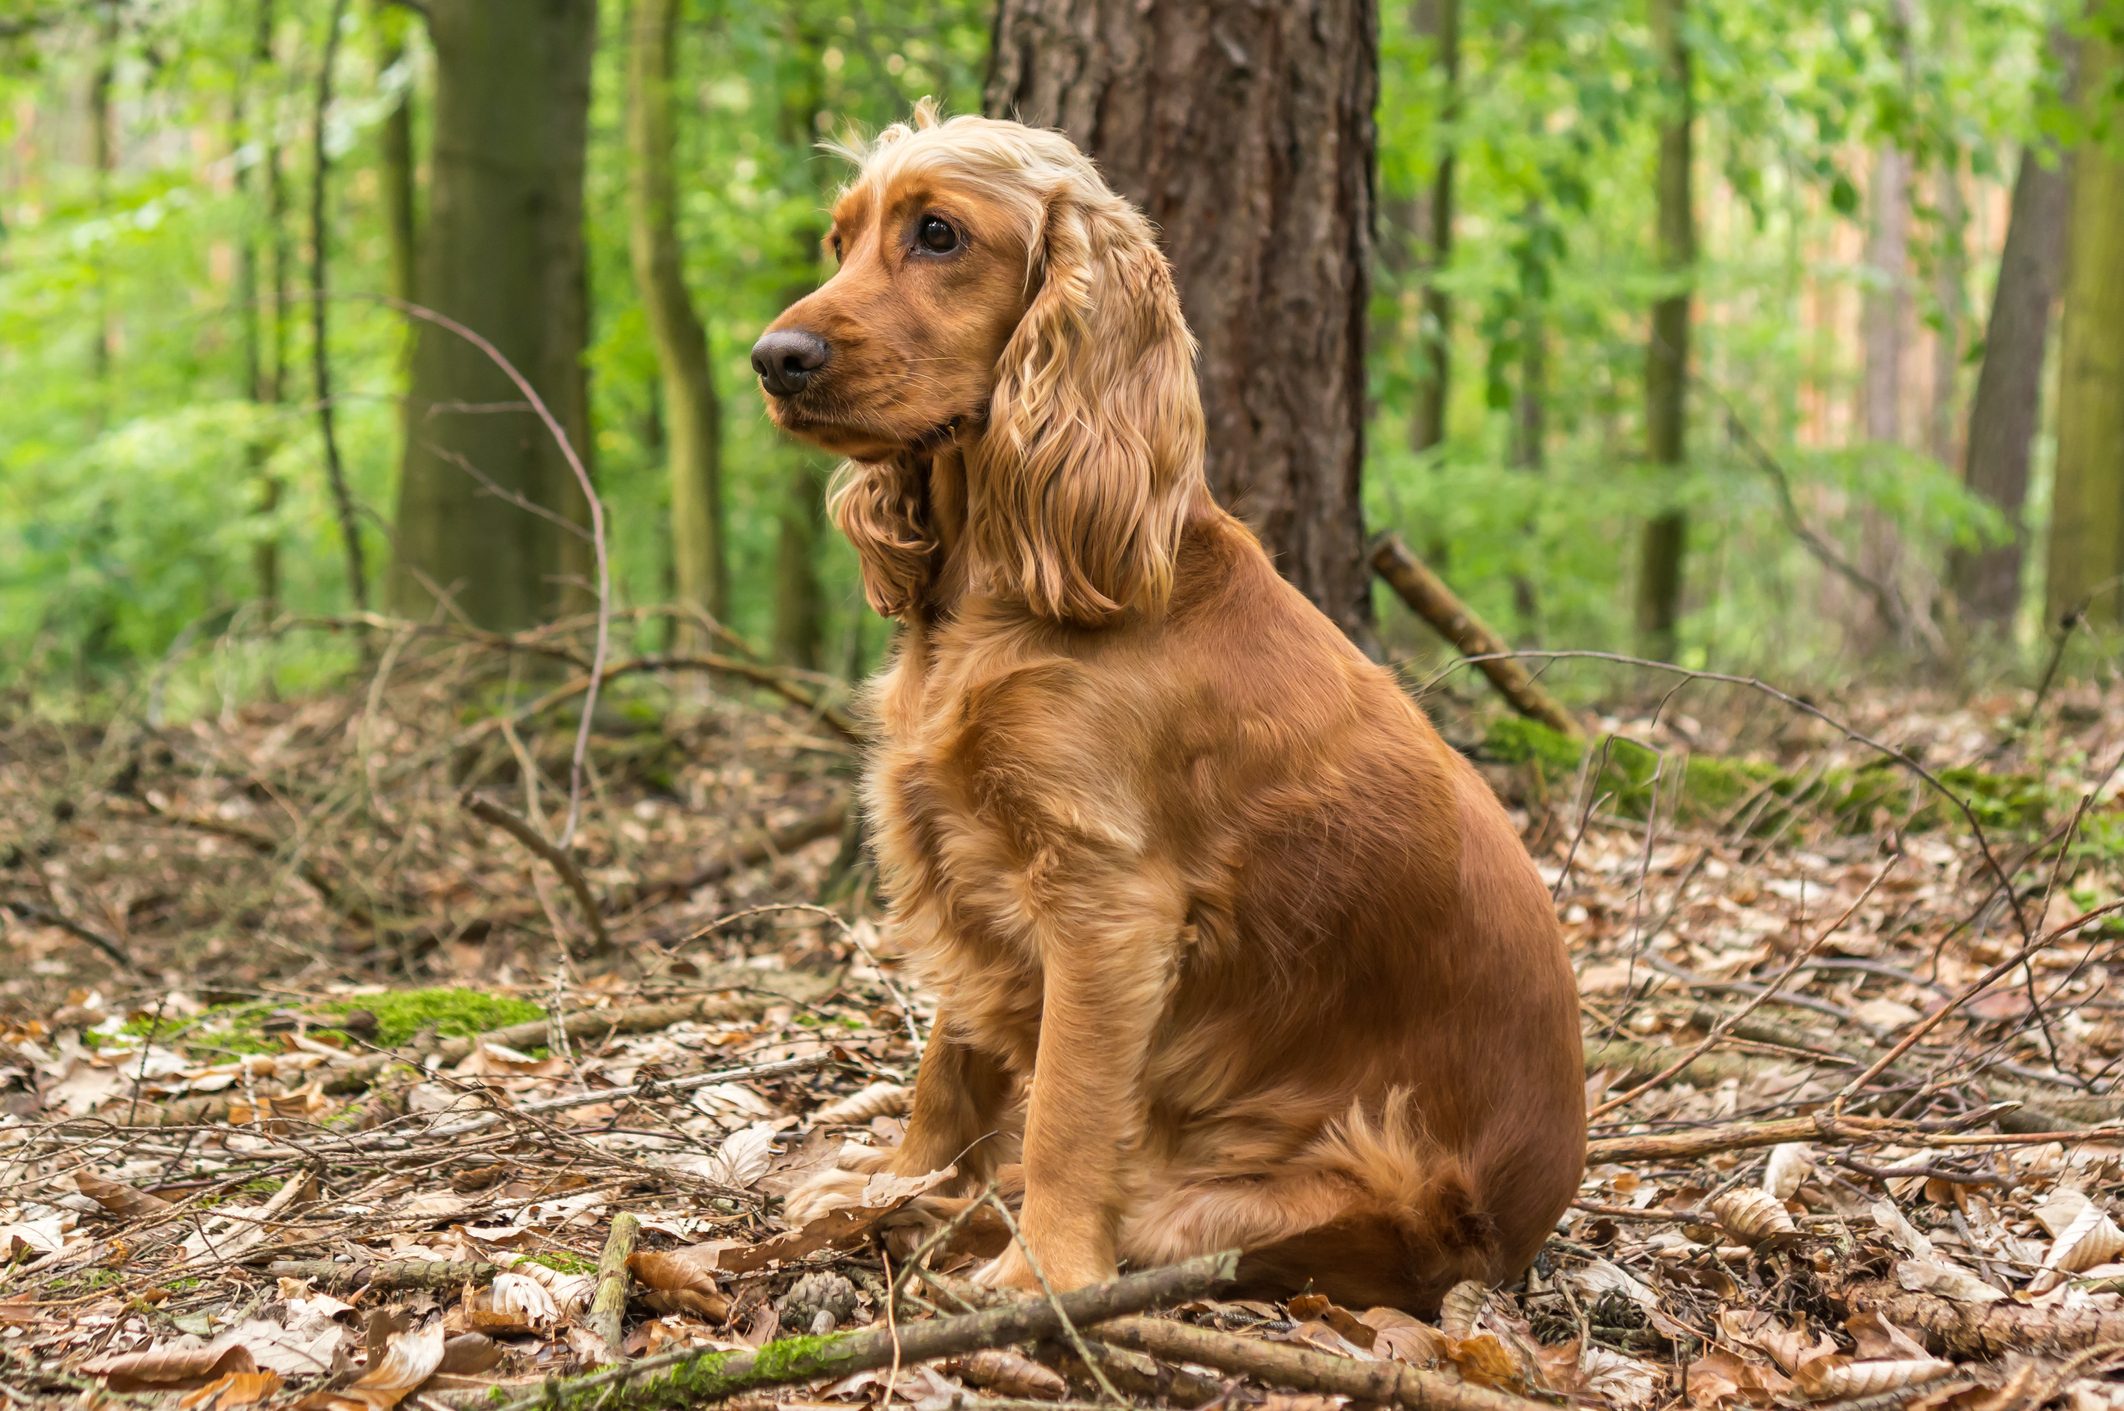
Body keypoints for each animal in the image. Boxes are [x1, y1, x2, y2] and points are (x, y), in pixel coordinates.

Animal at [747, 102, 1580, 1309]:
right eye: (839, 239)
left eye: (939, 235)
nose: (773, 360)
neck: (1006, 583)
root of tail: (1518, 1235)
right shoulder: (967, 849)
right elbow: (949, 1063)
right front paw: (899, 1181)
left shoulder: (1106, 903)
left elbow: (1062, 1110)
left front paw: (1040, 1274)